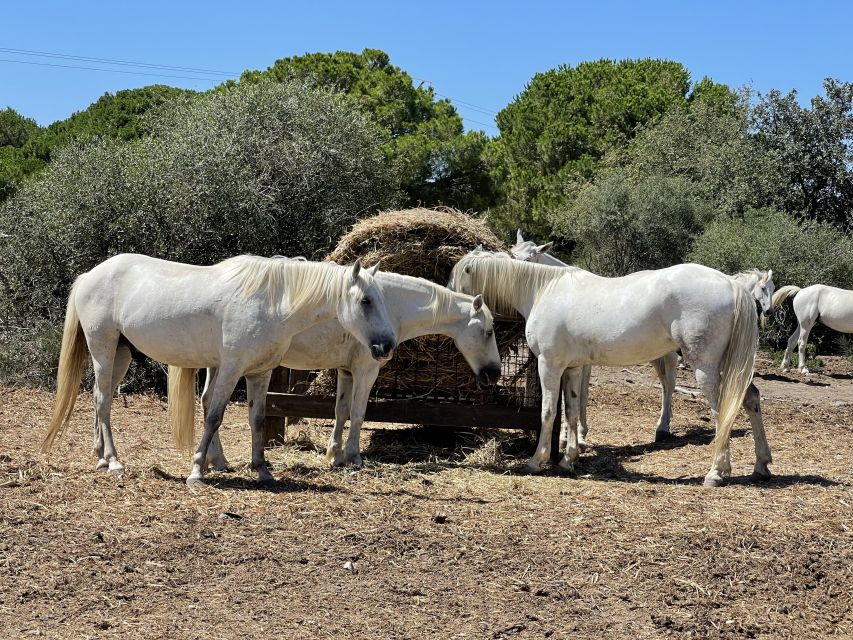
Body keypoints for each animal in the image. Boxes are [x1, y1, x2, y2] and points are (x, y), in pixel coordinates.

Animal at [41, 254, 398, 484]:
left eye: (382, 299)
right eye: (366, 301)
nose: (387, 346)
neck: (272, 302)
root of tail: (90, 276)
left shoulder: (259, 373)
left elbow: (257, 419)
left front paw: (262, 469)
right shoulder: (230, 369)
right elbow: (214, 415)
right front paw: (198, 470)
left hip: (120, 354)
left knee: (99, 400)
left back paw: (101, 456)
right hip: (102, 348)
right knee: (103, 402)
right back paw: (115, 462)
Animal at [175, 272, 506, 470]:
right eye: (489, 332)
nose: (494, 373)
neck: (392, 307)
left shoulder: (347, 372)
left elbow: (341, 411)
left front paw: (334, 455)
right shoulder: (366, 370)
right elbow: (358, 414)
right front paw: (354, 457)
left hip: (217, 363)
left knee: (208, 402)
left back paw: (217, 460)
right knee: (211, 404)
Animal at [450, 249, 764, 484]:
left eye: (456, 276)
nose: (449, 298)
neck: (543, 290)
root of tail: (732, 284)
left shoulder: (549, 365)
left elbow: (549, 413)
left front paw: (537, 461)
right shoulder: (573, 368)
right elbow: (572, 412)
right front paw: (568, 459)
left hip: (706, 368)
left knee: (722, 411)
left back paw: (716, 473)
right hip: (731, 367)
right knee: (750, 399)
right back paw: (762, 466)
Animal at [510, 230, 776, 456]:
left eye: (530, 257)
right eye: (512, 254)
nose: (769, 310)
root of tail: (731, 285)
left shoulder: (579, 363)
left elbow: (580, 396)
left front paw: (578, 437)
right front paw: (571, 438)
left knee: (670, 385)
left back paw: (665, 429)